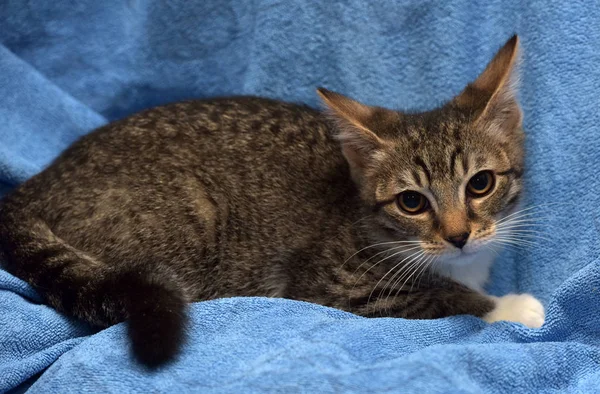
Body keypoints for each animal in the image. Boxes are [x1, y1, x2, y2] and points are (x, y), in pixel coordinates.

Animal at [0, 36, 544, 366]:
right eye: (412, 202)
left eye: (480, 184)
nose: (458, 235)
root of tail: (38, 183)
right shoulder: (337, 286)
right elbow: (437, 297)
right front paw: (510, 307)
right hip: (190, 220)